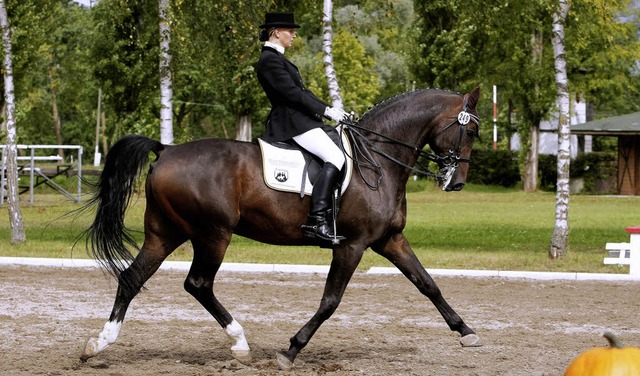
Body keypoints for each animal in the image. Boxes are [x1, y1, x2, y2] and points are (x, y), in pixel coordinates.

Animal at [79, 86, 480, 368]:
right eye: (470, 132)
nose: (457, 183)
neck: (378, 159)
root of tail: (166, 150)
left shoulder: (389, 239)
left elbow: (427, 284)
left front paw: (467, 332)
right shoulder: (351, 244)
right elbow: (330, 301)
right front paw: (291, 351)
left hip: (166, 233)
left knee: (133, 278)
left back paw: (98, 344)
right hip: (213, 234)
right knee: (198, 283)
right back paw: (240, 343)